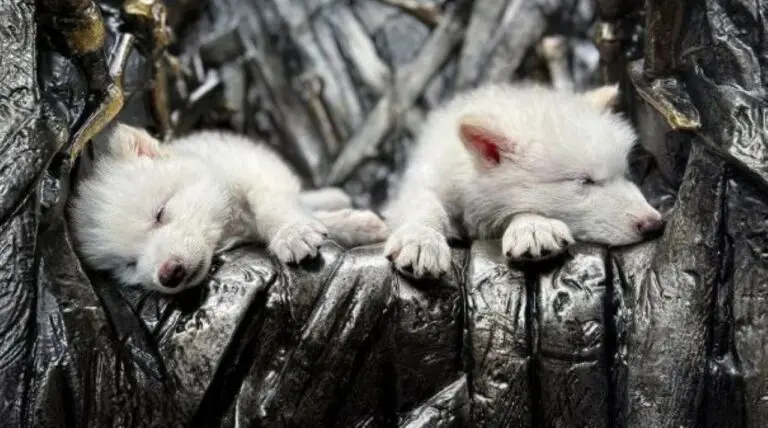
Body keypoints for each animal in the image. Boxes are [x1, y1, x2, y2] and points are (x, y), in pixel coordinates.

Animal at [69, 124, 388, 294]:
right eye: (129, 265)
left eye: (159, 214)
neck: (227, 223)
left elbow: (273, 206)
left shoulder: (256, 170)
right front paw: (352, 226)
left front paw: (293, 233)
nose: (168, 274)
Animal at [383, 83, 663, 278]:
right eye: (585, 181)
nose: (655, 225)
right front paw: (420, 239)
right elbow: (424, 204)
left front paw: (534, 227)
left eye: (625, 174)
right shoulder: (427, 178)